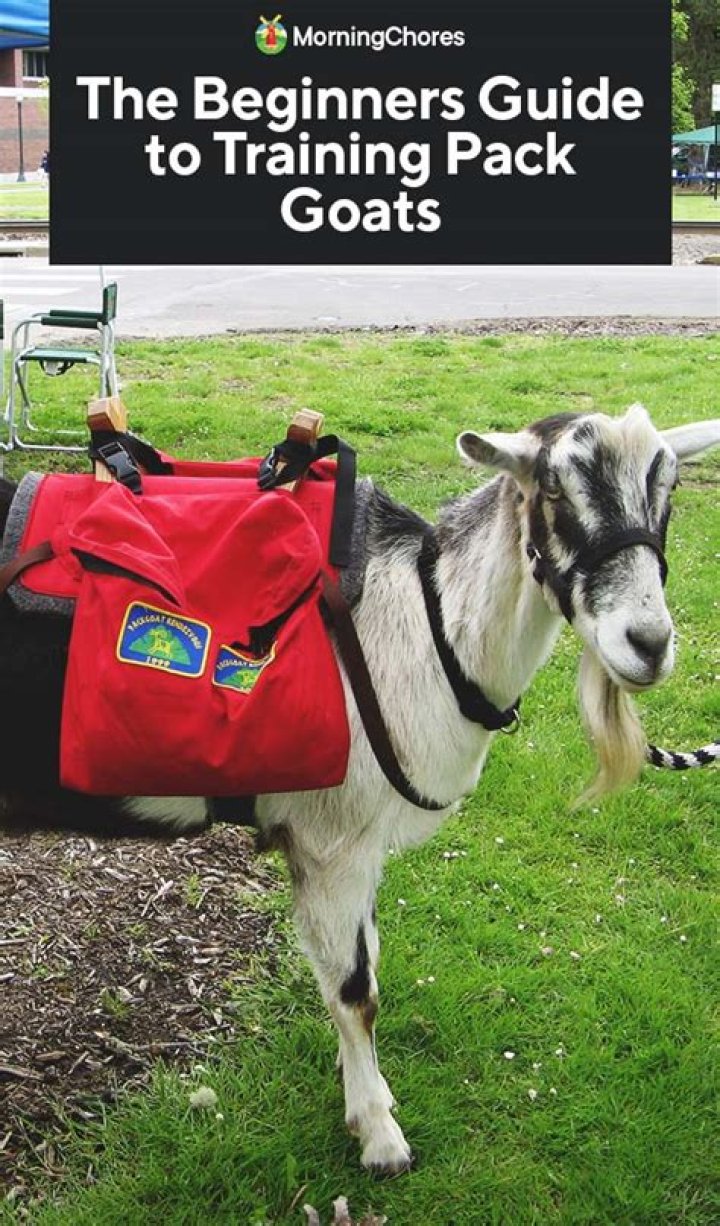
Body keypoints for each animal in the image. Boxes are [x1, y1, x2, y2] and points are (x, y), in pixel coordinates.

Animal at [1, 405, 718, 1173]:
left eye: (670, 485)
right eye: (553, 487)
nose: (648, 643)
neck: (431, 626)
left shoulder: (360, 843)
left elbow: (362, 965)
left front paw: (366, 1096)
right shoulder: (331, 839)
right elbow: (355, 989)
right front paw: (379, 1136)